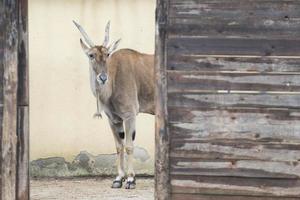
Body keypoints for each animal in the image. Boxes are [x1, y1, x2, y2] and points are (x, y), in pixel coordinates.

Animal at [73, 21, 155, 190]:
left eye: (107, 54)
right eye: (91, 55)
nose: (103, 78)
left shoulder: (130, 115)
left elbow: (129, 146)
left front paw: (130, 180)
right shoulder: (114, 119)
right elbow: (119, 147)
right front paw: (118, 178)